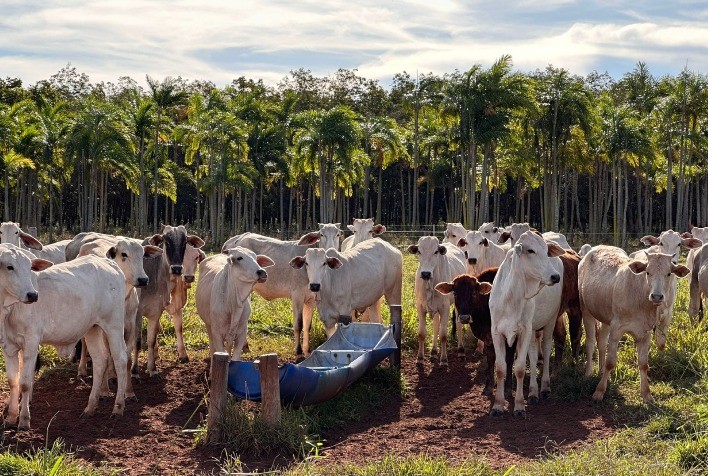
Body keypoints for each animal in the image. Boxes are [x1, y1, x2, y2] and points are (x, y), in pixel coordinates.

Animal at [1, 253, 128, 428]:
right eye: (9, 266)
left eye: (29, 267)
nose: (32, 295)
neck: (10, 310)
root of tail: (108, 262)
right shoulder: (8, 346)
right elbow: (13, 382)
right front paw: (11, 418)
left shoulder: (31, 343)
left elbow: (25, 383)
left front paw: (24, 420)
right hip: (92, 328)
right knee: (100, 360)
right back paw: (90, 407)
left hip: (113, 325)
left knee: (120, 359)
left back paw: (118, 407)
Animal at [410, 236, 464, 366]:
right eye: (419, 251)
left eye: (436, 252)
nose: (425, 273)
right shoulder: (420, 307)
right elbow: (422, 333)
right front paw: (420, 358)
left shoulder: (445, 308)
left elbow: (443, 334)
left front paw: (444, 360)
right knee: (435, 325)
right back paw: (434, 352)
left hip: (457, 303)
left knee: (459, 323)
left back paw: (461, 350)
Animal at [486, 231, 564, 416]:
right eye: (530, 250)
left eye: (546, 251)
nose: (555, 276)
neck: (511, 296)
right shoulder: (496, 331)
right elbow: (501, 368)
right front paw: (498, 405)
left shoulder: (524, 330)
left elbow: (520, 368)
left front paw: (519, 405)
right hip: (534, 329)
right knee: (534, 354)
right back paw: (533, 391)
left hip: (550, 321)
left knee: (546, 349)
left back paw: (544, 387)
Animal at [580, 247, 688, 404]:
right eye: (647, 272)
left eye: (668, 273)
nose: (657, 296)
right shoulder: (616, 330)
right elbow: (610, 362)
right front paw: (599, 391)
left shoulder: (645, 333)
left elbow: (643, 364)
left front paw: (647, 394)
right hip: (586, 310)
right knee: (590, 343)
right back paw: (588, 373)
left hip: (605, 318)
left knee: (601, 343)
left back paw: (600, 372)